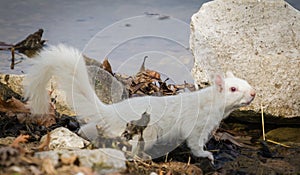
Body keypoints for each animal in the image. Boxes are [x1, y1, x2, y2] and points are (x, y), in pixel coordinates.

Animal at [25, 44, 255, 162]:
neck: (212, 103)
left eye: (246, 82)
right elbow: (195, 144)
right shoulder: (197, 126)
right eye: (233, 89)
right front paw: (207, 155)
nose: (253, 93)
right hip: (142, 134)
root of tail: (111, 111)